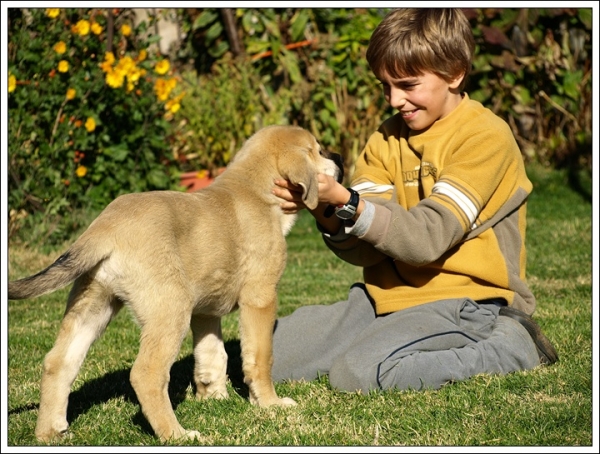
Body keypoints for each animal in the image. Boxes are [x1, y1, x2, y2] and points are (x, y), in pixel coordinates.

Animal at [7, 123, 342, 440]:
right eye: (319, 150)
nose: (339, 157)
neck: (254, 190)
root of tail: (104, 229)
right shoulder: (260, 297)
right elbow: (259, 358)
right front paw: (270, 404)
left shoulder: (205, 311)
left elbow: (212, 354)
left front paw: (213, 396)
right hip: (170, 308)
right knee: (146, 373)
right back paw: (176, 434)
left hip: (93, 305)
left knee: (58, 362)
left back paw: (50, 432)